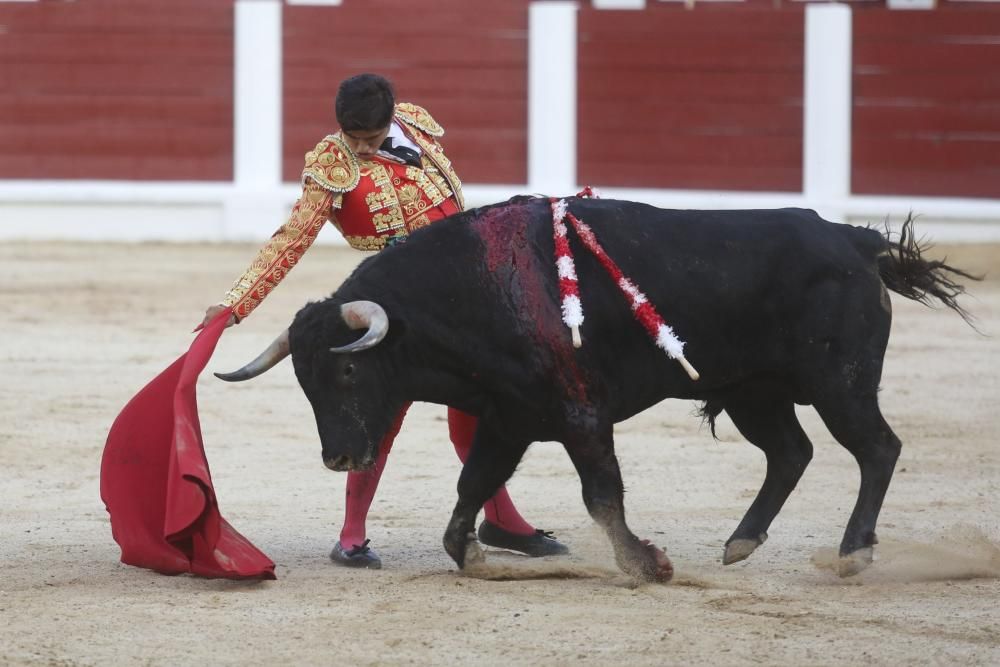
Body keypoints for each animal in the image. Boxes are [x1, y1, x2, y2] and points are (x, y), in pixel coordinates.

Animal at [219, 196, 976, 580]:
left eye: (347, 369)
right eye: (303, 382)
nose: (340, 457)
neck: (476, 289)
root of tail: (852, 240)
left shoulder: (581, 414)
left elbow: (602, 494)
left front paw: (645, 562)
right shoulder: (509, 417)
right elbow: (470, 486)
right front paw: (474, 553)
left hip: (839, 385)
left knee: (876, 448)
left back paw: (853, 552)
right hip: (753, 391)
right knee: (791, 452)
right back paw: (741, 542)